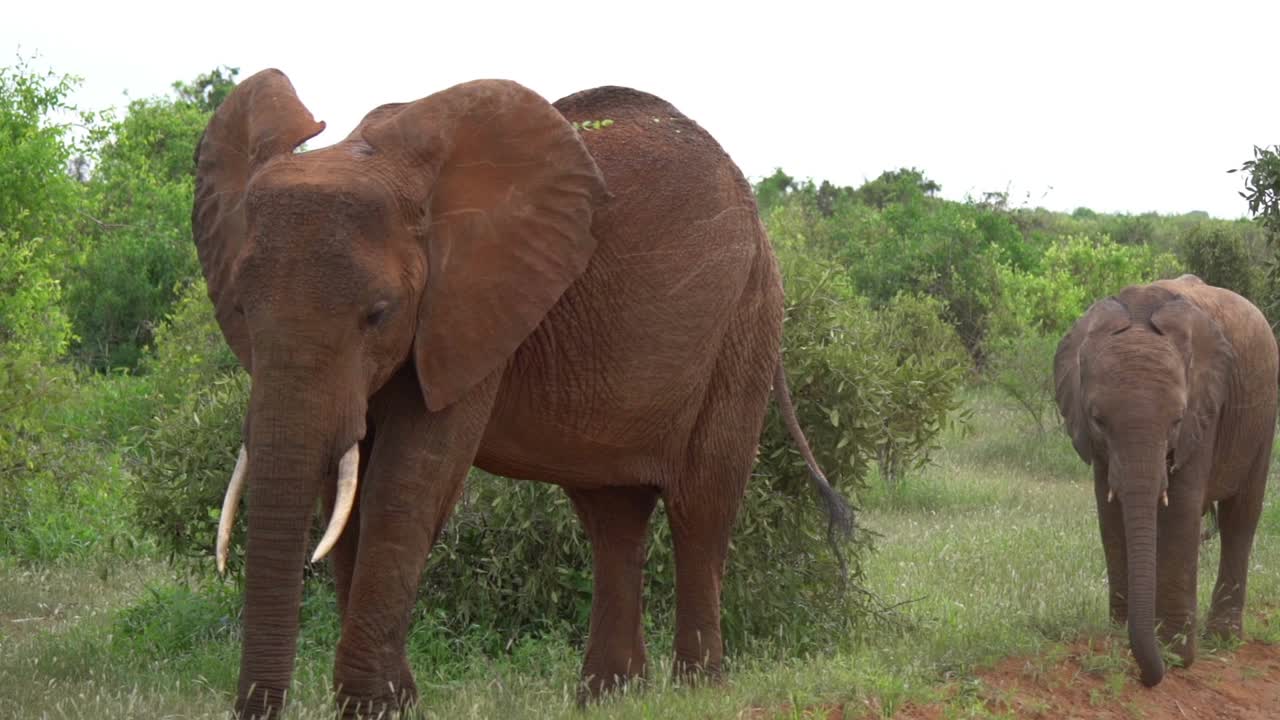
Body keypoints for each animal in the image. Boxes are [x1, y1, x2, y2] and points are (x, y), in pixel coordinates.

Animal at [192, 68, 849, 717]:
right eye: (241, 310)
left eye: (379, 314)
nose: (255, 708)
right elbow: (343, 493)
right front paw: (390, 705)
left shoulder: (469, 311)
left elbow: (404, 485)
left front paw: (377, 706)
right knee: (613, 517)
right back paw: (609, 697)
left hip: (744, 320)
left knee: (701, 505)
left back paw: (697, 691)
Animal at [1054, 272, 1274, 681]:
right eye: (1097, 420)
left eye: (1176, 420)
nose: (1145, 677)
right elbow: (1111, 514)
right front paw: (1117, 637)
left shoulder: (1205, 411)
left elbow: (1181, 510)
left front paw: (1174, 656)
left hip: (1263, 415)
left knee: (1240, 518)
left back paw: (1223, 639)